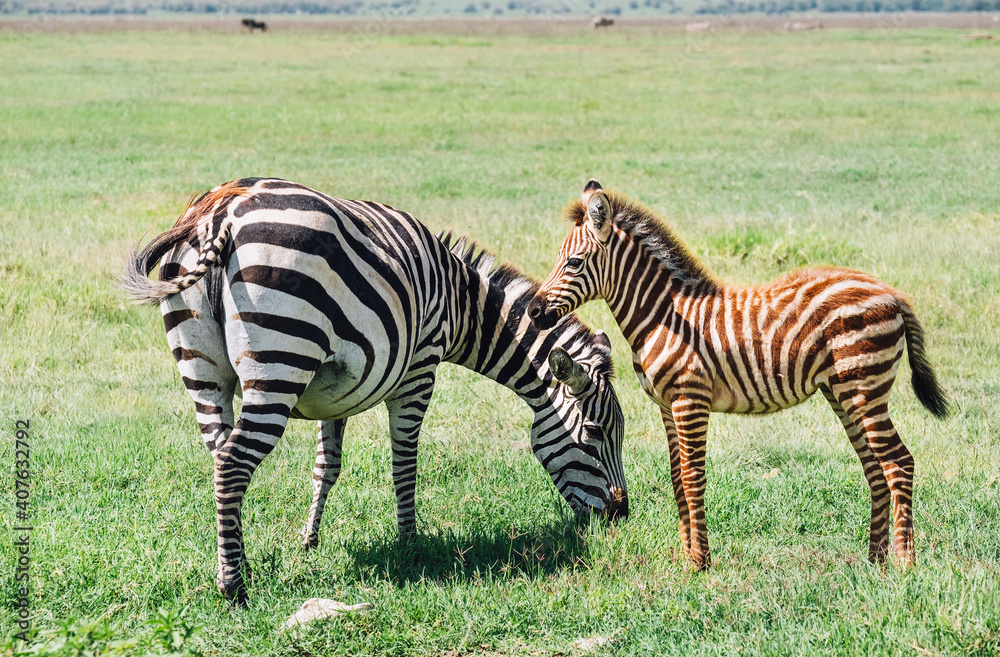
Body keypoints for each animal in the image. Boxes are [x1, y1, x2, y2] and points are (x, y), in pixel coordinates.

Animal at [121, 178, 628, 604]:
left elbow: (326, 467)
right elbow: (405, 465)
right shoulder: (419, 369)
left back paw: (238, 560)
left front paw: (309, 541)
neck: (461, 304)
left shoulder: (333, 390)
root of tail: (220, 211)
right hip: (279, 363)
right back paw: (234, 587)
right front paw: (409, 544)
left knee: (219, 458)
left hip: (204, 371)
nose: (622, 516)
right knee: (232, 465)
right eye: (595, 433)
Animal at [527, 179, 948, 569]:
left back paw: (904, 563)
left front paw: (699, 563)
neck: (663, 317)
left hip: (865, 387)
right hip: (843, 392)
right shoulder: (666, 405)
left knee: (899, 463)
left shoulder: (690, 400)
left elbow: (693, 478)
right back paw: (875, 560)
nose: (532, 311)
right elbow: (677, 478)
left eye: (574, 262)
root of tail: (892, 294)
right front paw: (687, 556)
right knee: (875, 467)